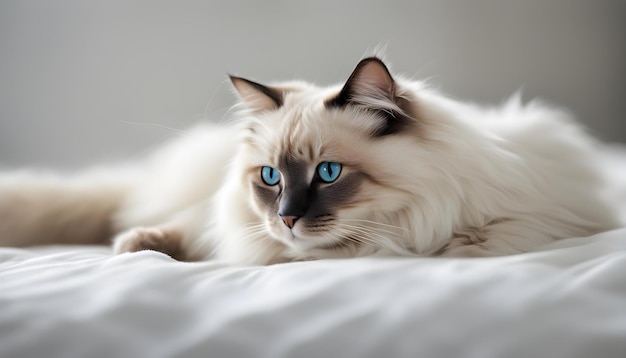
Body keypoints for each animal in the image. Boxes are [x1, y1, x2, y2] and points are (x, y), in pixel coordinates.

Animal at [0, 58, 616, 266]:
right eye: (271, 177)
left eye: (328, 174)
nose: (287, 218)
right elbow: (215, 236)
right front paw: (141, 247)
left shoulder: (527, 220)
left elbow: (475, 242)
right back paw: (135, 244)